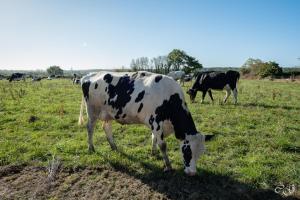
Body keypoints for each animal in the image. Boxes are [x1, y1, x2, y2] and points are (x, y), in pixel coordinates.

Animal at [78, 71, 207, 176]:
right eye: (188, 151)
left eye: (200, 153)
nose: (192, 173)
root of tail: (88, 75)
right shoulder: (155, 121)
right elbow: (162, 145)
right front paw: (168, 166)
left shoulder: (156, 124)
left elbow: (154, 139)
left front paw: (153, 153)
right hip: (92, 110)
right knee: (90, 128)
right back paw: (91, 148)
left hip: (108, 113)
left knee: (106, 127)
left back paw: (114, 147)